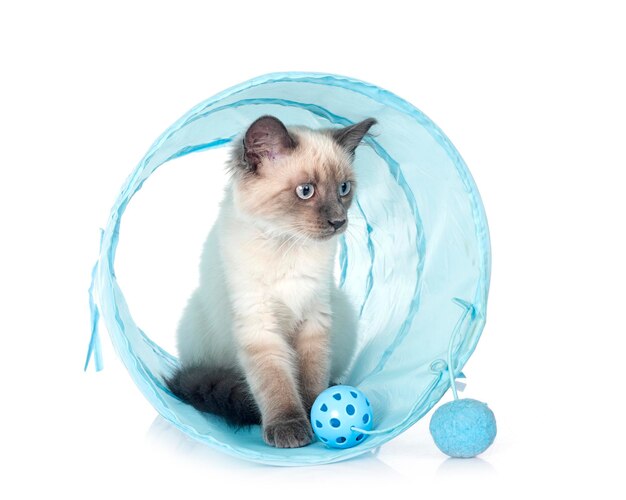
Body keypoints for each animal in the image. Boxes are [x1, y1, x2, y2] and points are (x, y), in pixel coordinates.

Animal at [163, 114, 376, 450]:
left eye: (343, 189)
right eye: (305, 191)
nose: (339, 221)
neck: (286, 244)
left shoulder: (315, 317)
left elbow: (312, 377)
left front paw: (317, 411)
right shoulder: (259, 326)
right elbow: (276, 383)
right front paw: (291, 427)